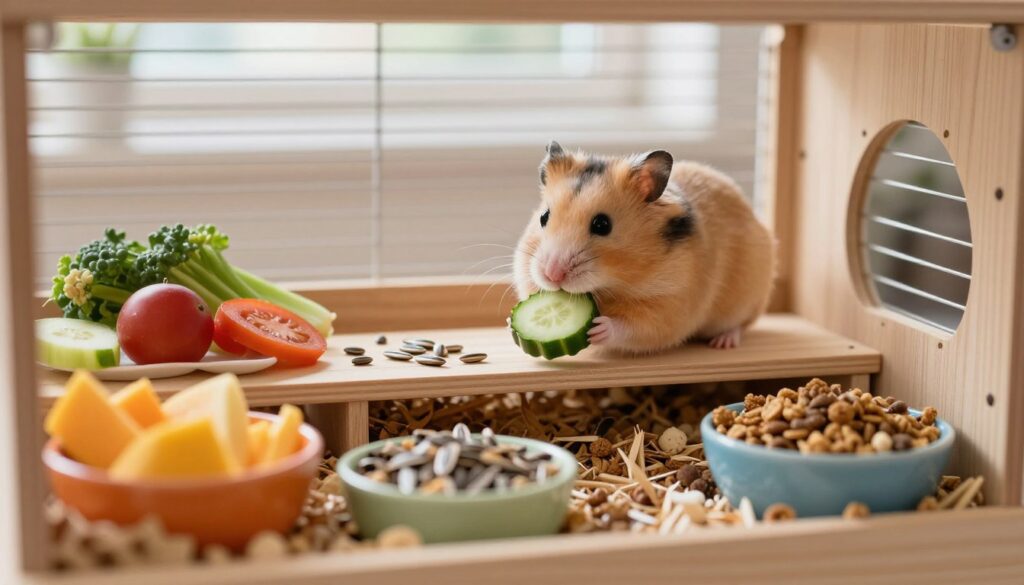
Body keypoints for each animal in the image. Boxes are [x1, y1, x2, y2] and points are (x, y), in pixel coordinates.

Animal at [513, 141, 775, 353]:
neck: (612, 285)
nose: (552, 275)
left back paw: (723, 342)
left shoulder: (672, 303)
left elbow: (635, 327)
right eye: (543, 217)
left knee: (740, 325)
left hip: (749, 299)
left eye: (602, 224)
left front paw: (598, 329)